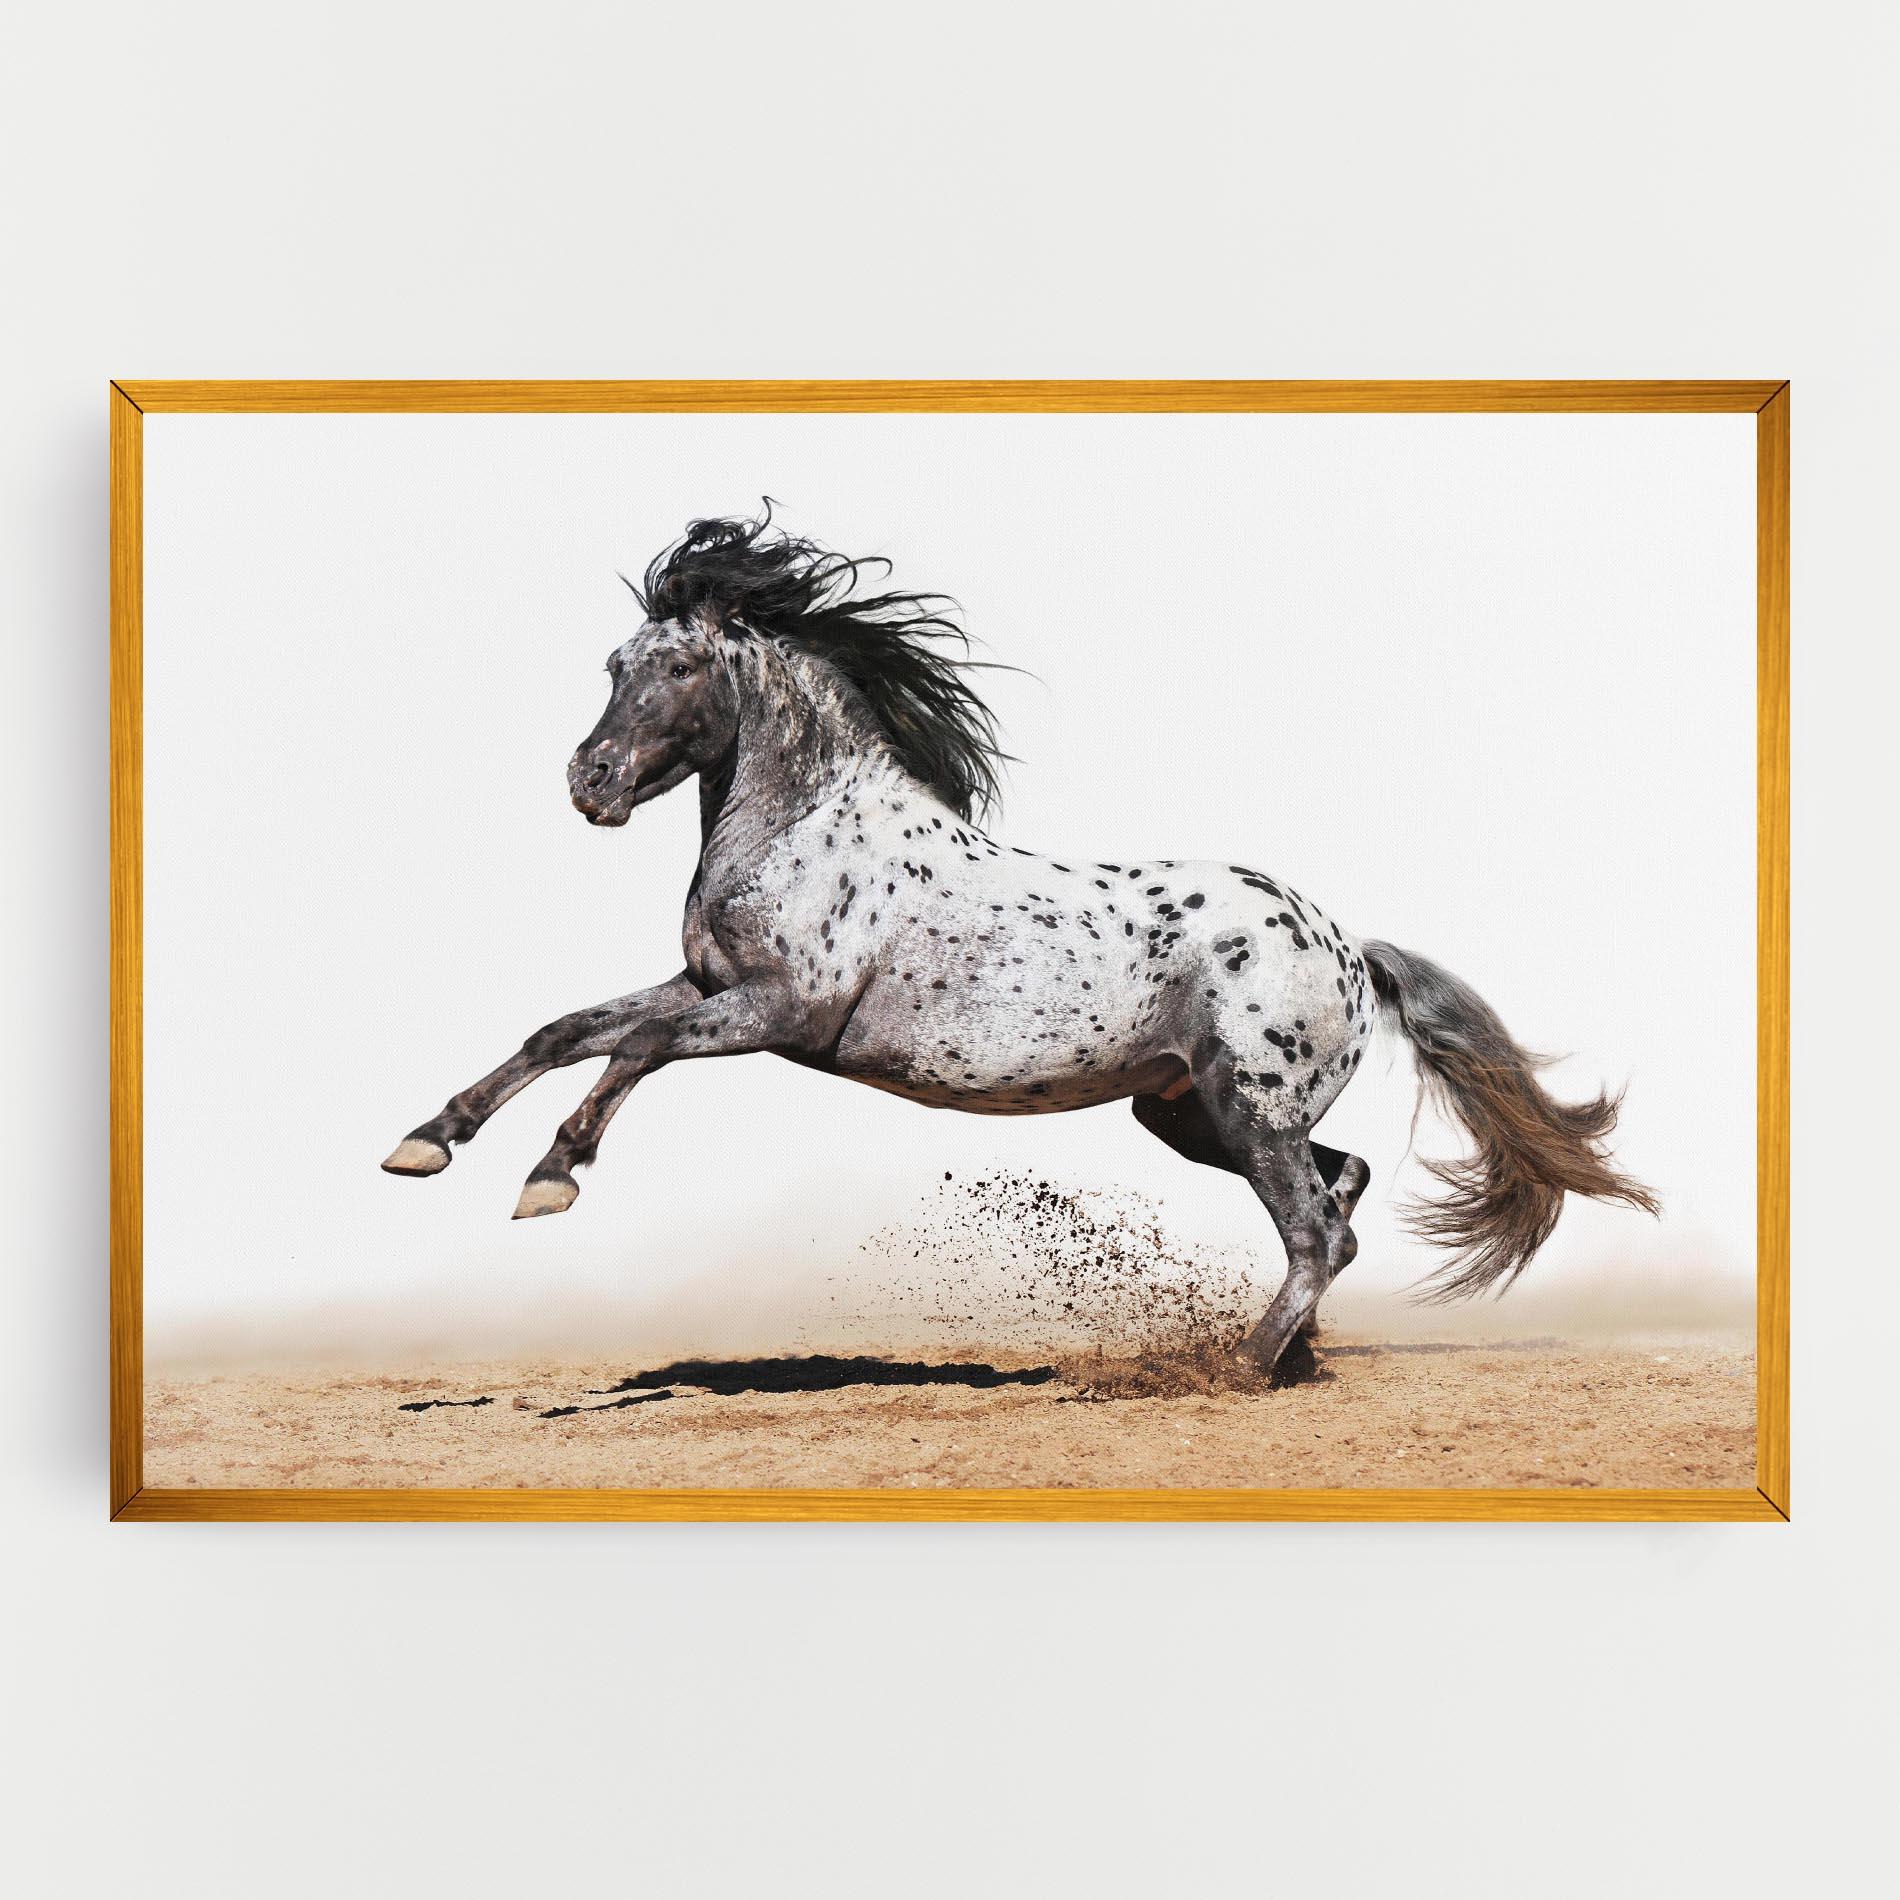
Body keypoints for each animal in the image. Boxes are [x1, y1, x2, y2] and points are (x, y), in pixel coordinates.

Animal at [382, 507, 1657, 1379]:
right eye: (613, 666)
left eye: (683, 665)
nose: (589, 784)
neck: (807, 825)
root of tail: (1348, 945)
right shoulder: (706, 983)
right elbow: (566, 1028)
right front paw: (426, 1143)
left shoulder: (774, 1015)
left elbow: (634, 1051)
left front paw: (550, 1179)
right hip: (1186, 1111)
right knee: (1337, 1195)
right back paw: (1292, 1355)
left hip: (1244, 1110)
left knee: (1312, 1229)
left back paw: (1236, 1369)